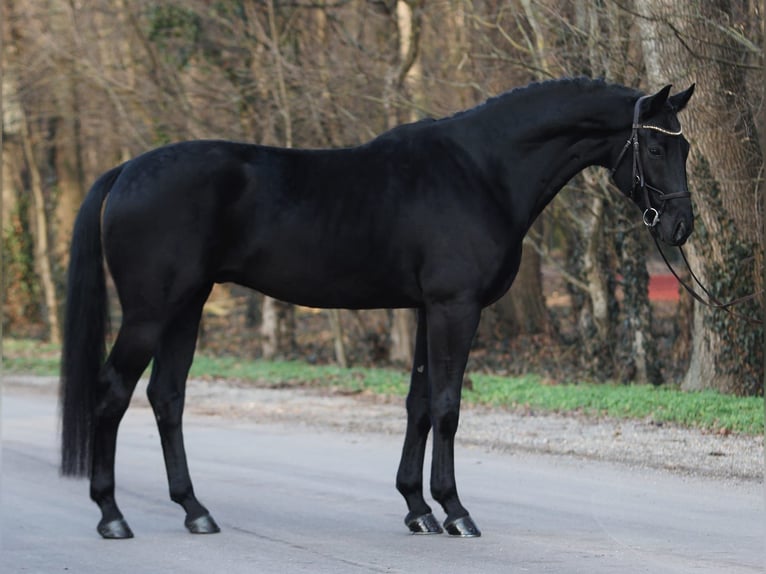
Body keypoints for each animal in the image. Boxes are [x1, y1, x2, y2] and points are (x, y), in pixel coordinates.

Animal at [60, 79, 696, 544]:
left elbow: (418, 404)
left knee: (167, 397)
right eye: (656, 147)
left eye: (684, 147)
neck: (481, 170)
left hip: (186, 307)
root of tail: (126, 171)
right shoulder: (454, 308)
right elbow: (447, 406)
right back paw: (112, 516)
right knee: (112, 391)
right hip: (150, 311)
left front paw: (417, 508)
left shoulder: (425, 310)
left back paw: (195, 510)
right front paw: (455, 510)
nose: (681, 227)